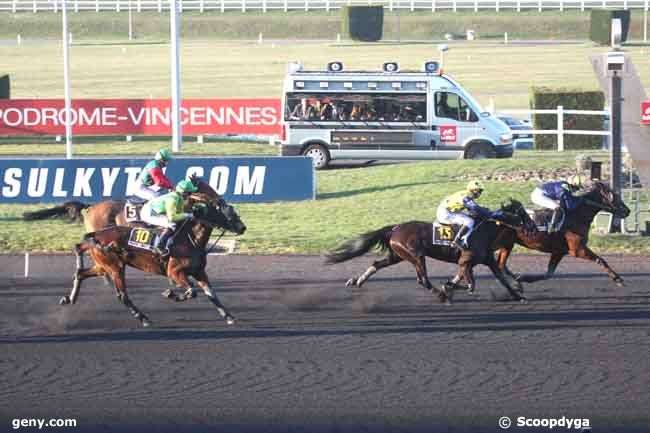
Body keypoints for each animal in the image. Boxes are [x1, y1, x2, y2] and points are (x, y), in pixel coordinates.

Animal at [58, 184, 246, 326]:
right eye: (223, 210)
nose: (242, 227)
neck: (190, 239)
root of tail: (96, 235)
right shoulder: (174, 271)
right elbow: (192, 291)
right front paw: (170, 293)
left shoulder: (199, 271)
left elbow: (211, 294)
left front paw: (229, 316)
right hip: (115, 267)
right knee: (122, 295)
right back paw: (143, 318)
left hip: (103, 266)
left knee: (80, 273)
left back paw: (70, 298)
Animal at [324, 201, 532, 302]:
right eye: (522, 213)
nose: (532, 227)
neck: (484, 230)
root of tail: (395, 228)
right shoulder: (466, 261)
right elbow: (470, 285)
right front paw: (447, 288)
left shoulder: (487, 260)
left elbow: (502, 279)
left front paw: (518, 295)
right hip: (415, 255)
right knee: (422, 279)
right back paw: (439, 294)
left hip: (397, 255)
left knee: (377, 264)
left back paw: (358, 280)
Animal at [492, 181, 628, 286]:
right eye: (614, 196)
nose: (627, 210)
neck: (577, 216)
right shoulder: (577, 249)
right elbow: (600, 260)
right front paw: (618, 279)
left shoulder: (559, 252)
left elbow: (548, 274)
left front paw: (523, 278)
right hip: (504, 243)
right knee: (500, 265)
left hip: (506, 244)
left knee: (500, 265)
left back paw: (514, 280)